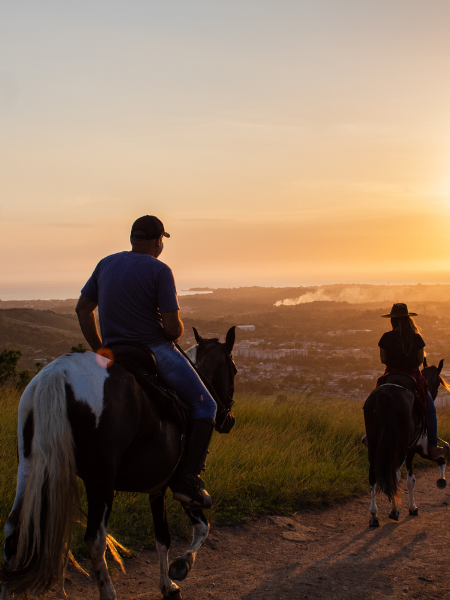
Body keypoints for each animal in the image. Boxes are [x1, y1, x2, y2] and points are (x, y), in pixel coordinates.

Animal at [0, 328, 237, 600]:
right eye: (234, 370)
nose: (228, 419)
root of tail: (58, 374)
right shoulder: (177, 484)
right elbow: (201, 526)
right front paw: (181, 566)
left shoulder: (156, 487)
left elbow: (162, 537)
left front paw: (167, 585)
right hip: (100, 481)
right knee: (95, 539)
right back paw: (109, 592)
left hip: (29, 466)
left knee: (13, 532)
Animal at [364, 358, 448, 528]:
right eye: (438, 382)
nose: (434, 393)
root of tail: (384, 396)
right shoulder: (411, 450)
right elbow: (410, 481)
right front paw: (412, 508)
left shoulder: (410, 450)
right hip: (399, 446)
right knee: (394, 472)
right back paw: (394, 510)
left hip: (375, 442)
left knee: (373, 474)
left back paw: (374, 516)